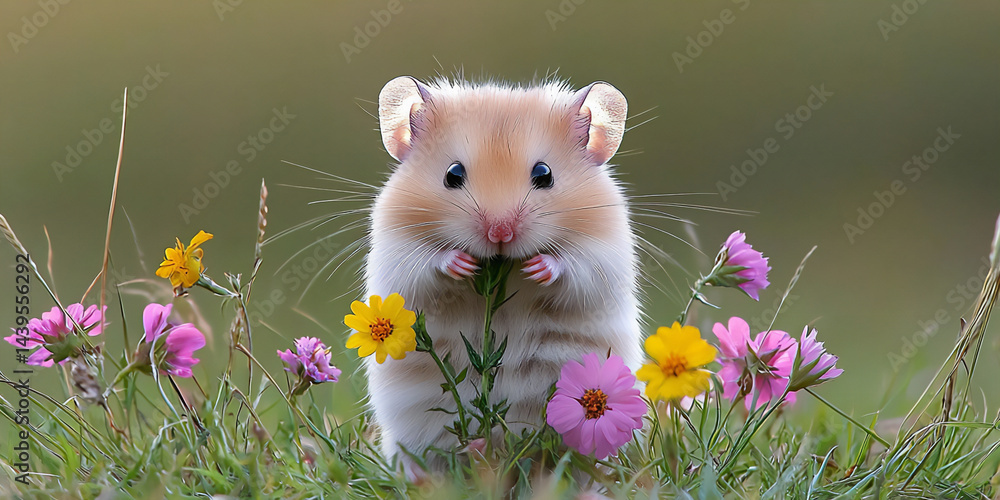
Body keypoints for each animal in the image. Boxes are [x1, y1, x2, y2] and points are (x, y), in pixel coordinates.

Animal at [364, 76, 641, 465]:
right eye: (452, 174)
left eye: (544, 174)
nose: (500, 233)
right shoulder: (396, 250)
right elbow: (426, 266)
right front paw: (461, 263)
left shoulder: (605, 253)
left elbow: (577, 268)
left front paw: (538, 267)